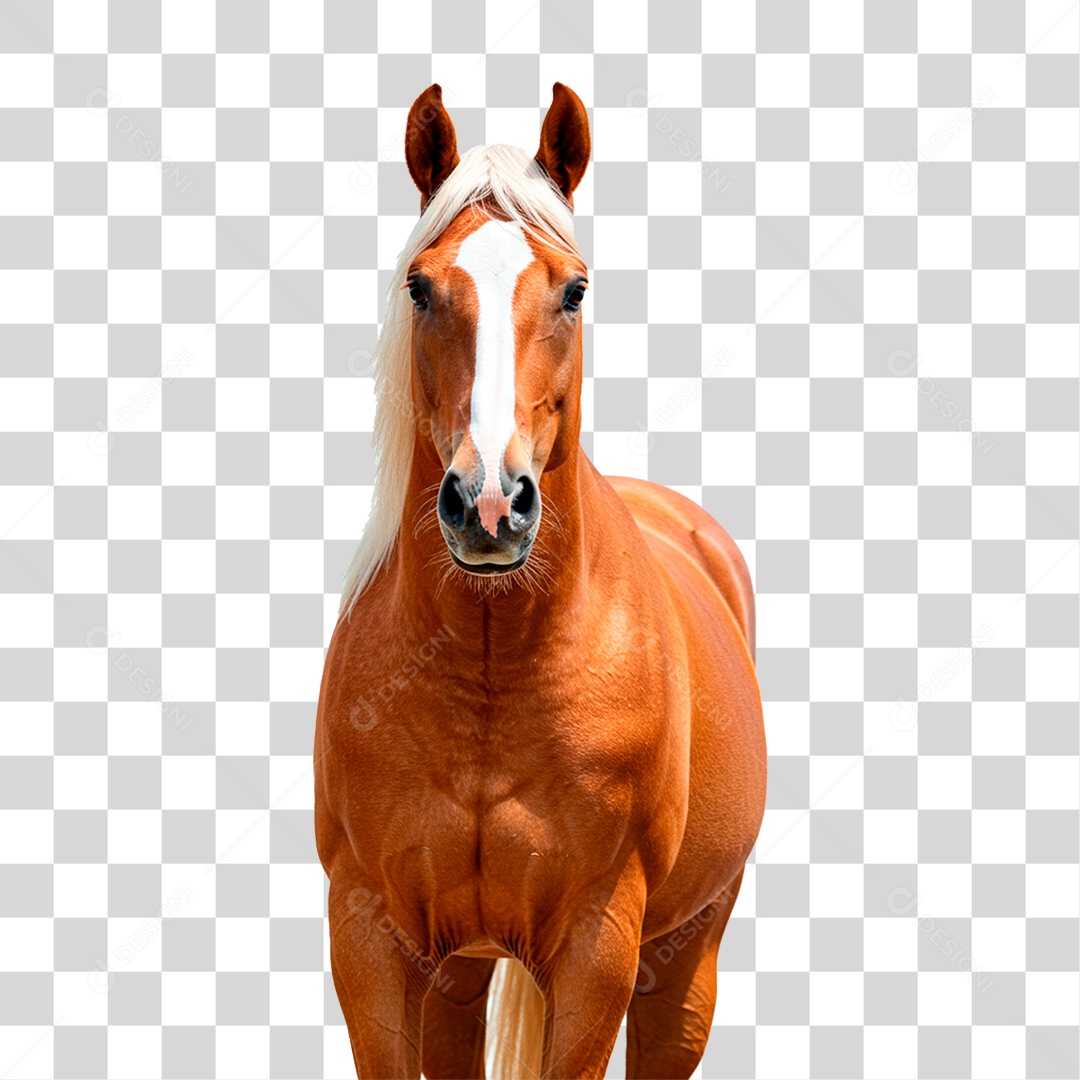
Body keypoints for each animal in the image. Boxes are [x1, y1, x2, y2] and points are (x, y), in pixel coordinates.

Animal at [314, 82, 766, 1080]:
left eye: (574, 288)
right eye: (420, 286)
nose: (490, 504)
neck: (492, 668)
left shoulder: (598, 947)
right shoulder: (370, 939)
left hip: (687, 958)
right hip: (458, 971)